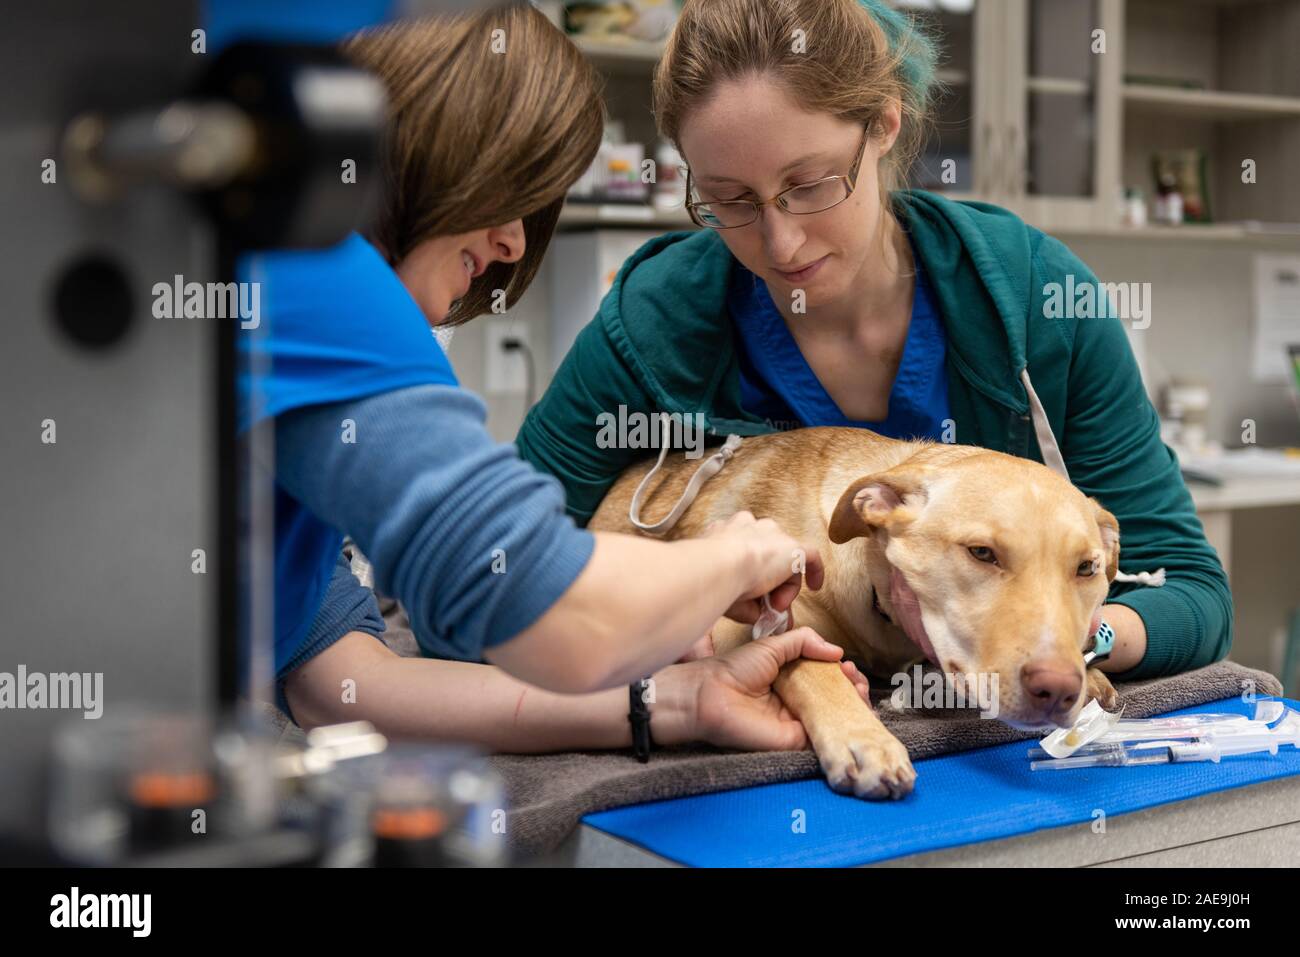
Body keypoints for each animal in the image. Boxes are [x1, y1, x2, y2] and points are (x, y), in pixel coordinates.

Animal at [590, 429, 1118, 800]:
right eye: (982, 553)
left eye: (1087, 568)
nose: (1058, 690)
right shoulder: (747, 614)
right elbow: (810, 662)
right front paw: (863, 738)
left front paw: (1092, 677)